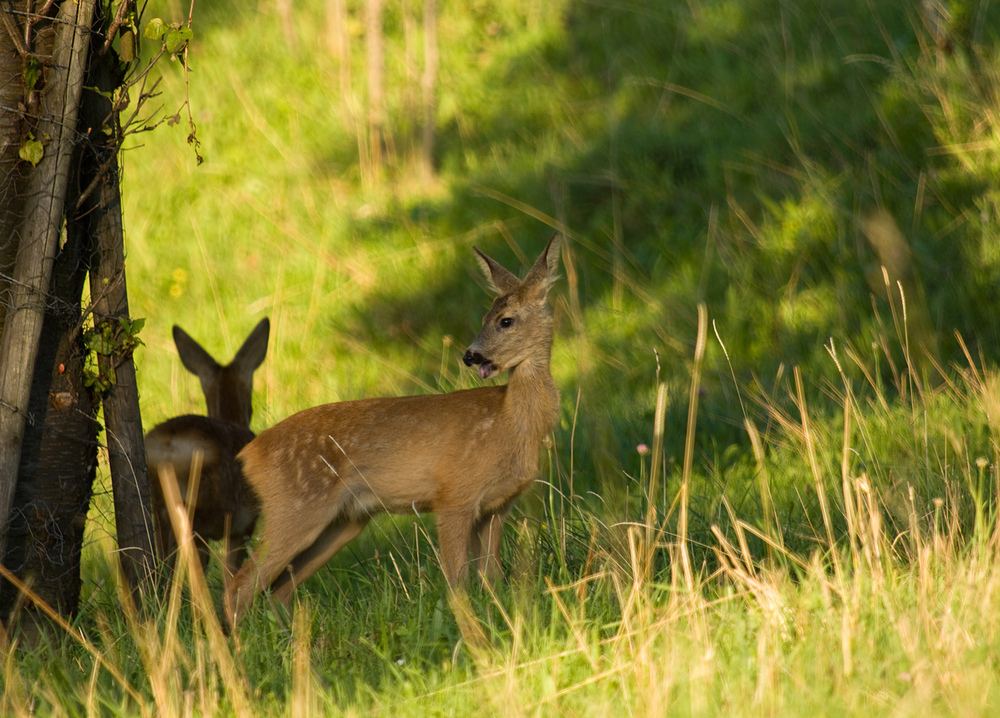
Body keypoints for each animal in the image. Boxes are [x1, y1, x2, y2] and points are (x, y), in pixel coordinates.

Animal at [223, 238, 564, 632]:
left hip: (344, 522)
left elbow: (492, 580)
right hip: (294, 508)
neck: (509, 422)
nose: (470, 356)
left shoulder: (497, 506)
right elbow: (457, 582)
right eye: (484, 319)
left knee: (277, 590)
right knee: (240, 585)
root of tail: (249, 453)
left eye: (505, 320)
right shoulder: (454, 495)